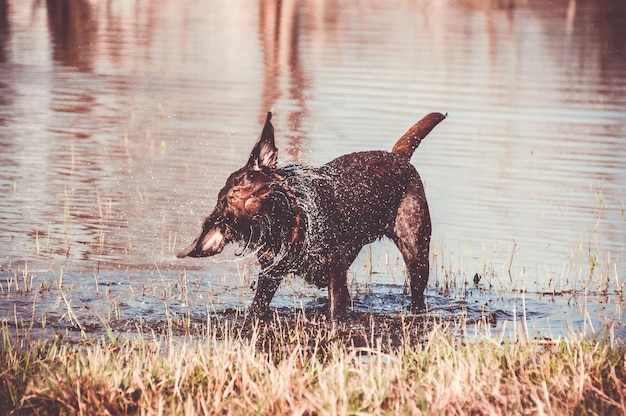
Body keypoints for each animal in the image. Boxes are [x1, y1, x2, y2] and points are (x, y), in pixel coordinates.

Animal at [178, 111, 446, 318]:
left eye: (248, 178)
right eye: (226, 206)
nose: (236, 195)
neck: (289, 230)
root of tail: (398, 156)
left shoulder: (335, 268)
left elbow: (336, 309)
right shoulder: (270, 274)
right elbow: (257, 308)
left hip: (416, 252)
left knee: (417, 292)